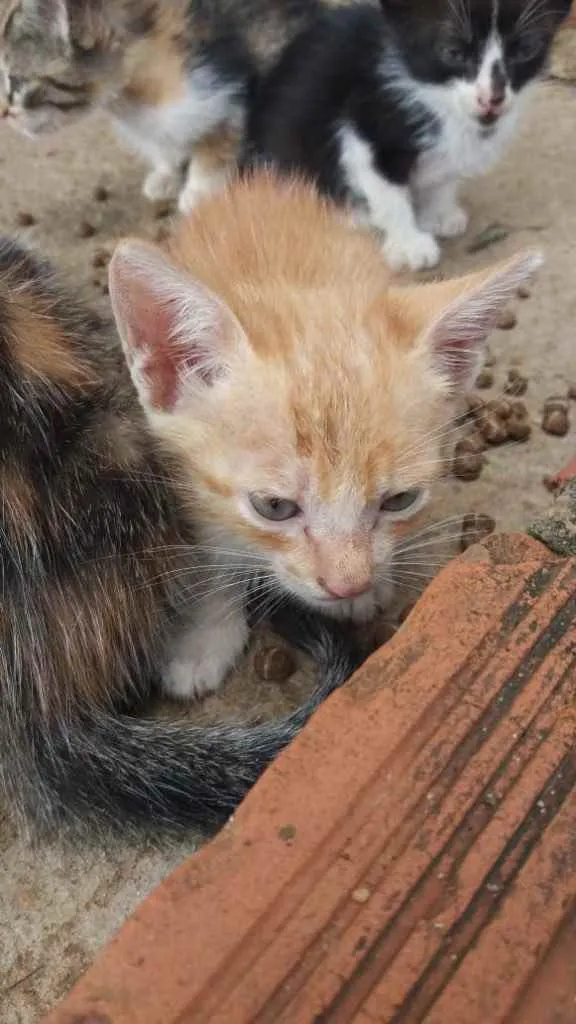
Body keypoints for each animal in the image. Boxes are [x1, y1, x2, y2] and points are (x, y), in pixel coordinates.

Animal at [0, 0, 315, 209]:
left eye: (16, 80)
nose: (4, 114)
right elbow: (161, 138)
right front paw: (166, 173)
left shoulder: (224, 81)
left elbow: (220, 136)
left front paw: (201, 192)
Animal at [111, 169, 537, 696]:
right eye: (273, 507)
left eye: (400, 500)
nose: (347, 584)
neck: (289, 277)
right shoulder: (183, 480)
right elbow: (212, 555)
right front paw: (205, 633)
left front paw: (365, 592)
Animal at [243, 0, 565, 270]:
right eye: (453, 52)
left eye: (525, 51)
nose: (492, 98)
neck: (437, 100)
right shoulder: (364, 126)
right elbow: (387, 192)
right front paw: (410, 244)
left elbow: (443, 176)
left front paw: (440, 213)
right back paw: (349, 213)